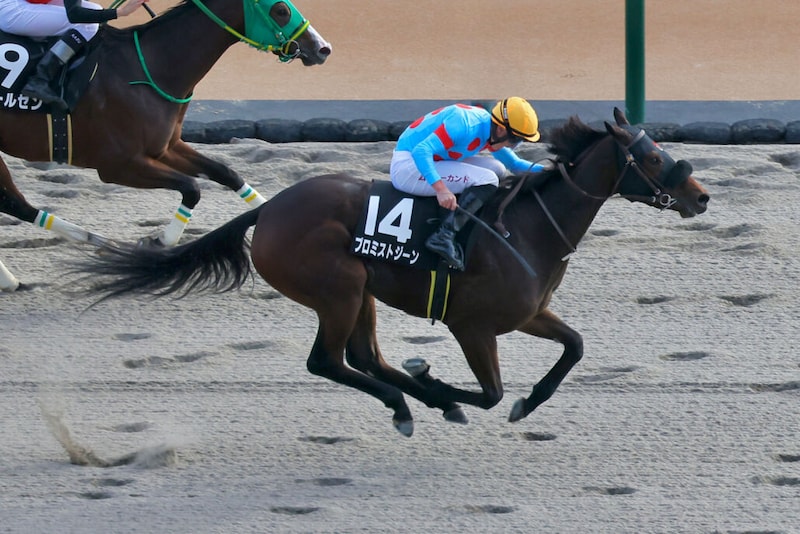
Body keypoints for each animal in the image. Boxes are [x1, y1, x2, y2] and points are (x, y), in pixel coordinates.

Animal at [0, 0, 331, 291]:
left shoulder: (166, 147)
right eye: (281, 9)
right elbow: (192, 188)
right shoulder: (118, 166)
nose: (322, 48)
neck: (148, 67)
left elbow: (226, 173)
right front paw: (159, 242)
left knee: (16, 204)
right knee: (16, 204)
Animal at [74, 108, 710, 437]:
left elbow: (573, 347)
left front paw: (523, 403)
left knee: (363, 357)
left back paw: (411, 399)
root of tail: (270, 209)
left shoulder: (530, 313)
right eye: (653, 157)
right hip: (339, 288)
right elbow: (489, 393)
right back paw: (407, 404)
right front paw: (439, 384)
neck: (528, 227)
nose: (701, 196)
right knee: (328, 362)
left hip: (363, 292)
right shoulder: (471, 325)